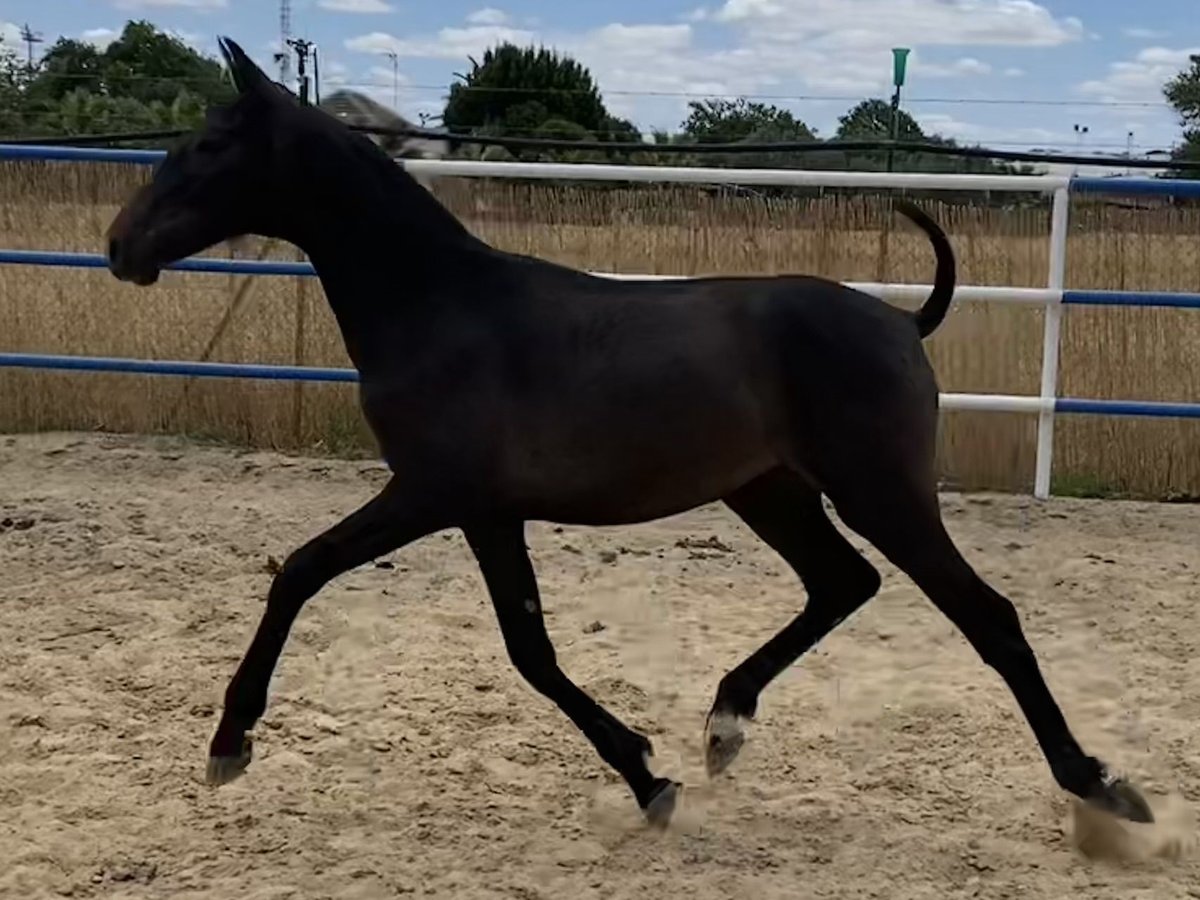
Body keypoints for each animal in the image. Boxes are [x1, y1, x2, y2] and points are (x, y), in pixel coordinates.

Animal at [103, 37, 1152, 830]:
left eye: (206, 145)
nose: (120, 246)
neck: (439, 306)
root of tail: (901, 321)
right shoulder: (486, 511)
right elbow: (528, 648)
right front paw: (651, 773)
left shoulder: (434, 494)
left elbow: (303, 574)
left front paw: (229, 745)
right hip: (770, 490)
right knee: (842, 584)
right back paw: (725, 724)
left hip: (879, 490)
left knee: (986, 616)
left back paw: (1101, 786)